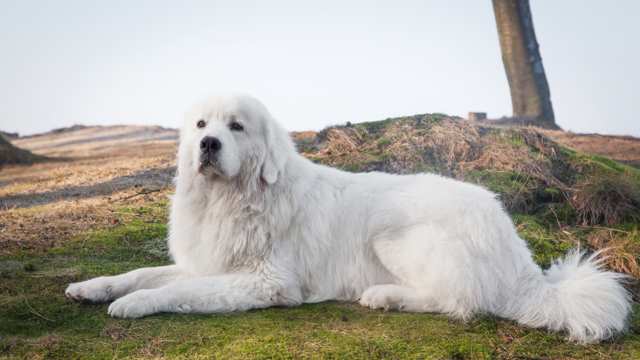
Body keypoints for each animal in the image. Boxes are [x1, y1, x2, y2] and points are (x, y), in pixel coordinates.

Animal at [66, 95, 632, 344]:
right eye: (201, 124)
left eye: (237, 127)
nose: (207, 144)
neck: (232, 200)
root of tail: (518, 252)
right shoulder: (208, 262)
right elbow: (141, 273)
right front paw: (92, 287)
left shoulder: (264, 282)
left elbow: (174, 290)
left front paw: (135, 305)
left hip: (394, 238)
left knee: (459, 301)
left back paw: (385, 296)